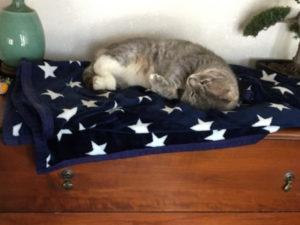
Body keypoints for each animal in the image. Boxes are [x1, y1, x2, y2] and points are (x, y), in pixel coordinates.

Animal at [82, 37, 239, 110]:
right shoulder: (187, 62)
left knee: (110, 80)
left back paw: (99, 82)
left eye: (194, 94)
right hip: (127, 53)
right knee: (101, 63)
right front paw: (157, 80)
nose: (190, 79)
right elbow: (175, 77)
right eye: (204, 82)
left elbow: (170, 93)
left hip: (123, 79)